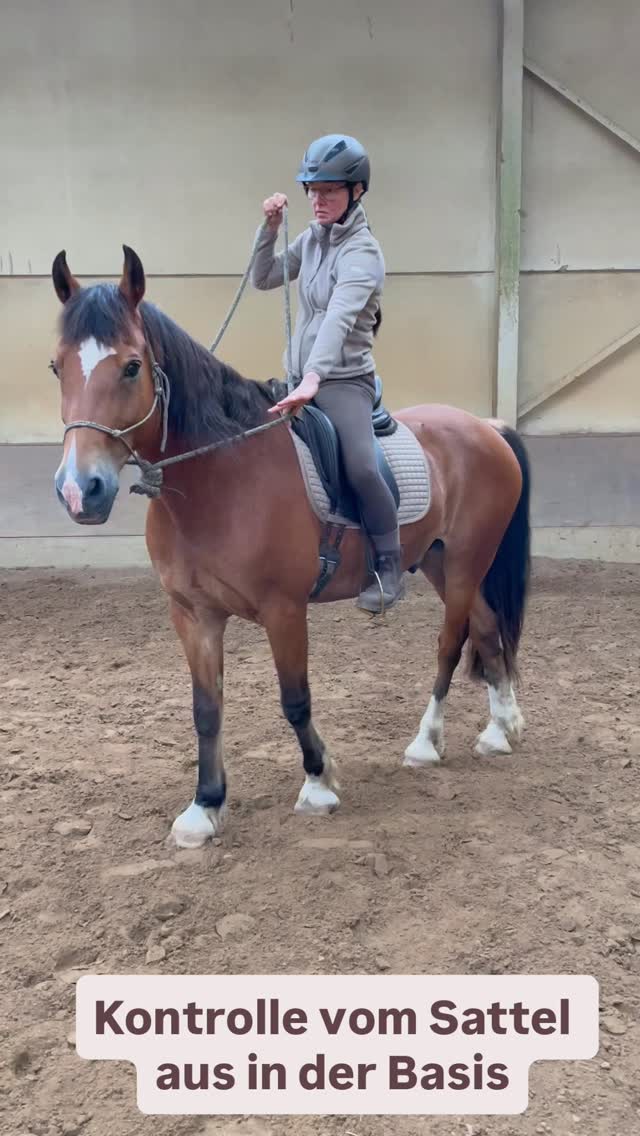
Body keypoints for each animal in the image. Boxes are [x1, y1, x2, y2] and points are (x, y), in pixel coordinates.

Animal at [49, 244, 531, 849]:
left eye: (132, 366)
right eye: (56, 366)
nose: (79, 490)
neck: (221, 476)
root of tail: (486, 426)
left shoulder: (284, 611)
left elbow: (294, 700)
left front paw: (319, 783)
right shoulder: (193, 614)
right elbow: (206, 709)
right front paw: (204, 807)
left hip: (466, 563)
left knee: (451, 642)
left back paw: (427, 742)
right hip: (444, 562)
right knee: (488, 629)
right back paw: (500, 729)